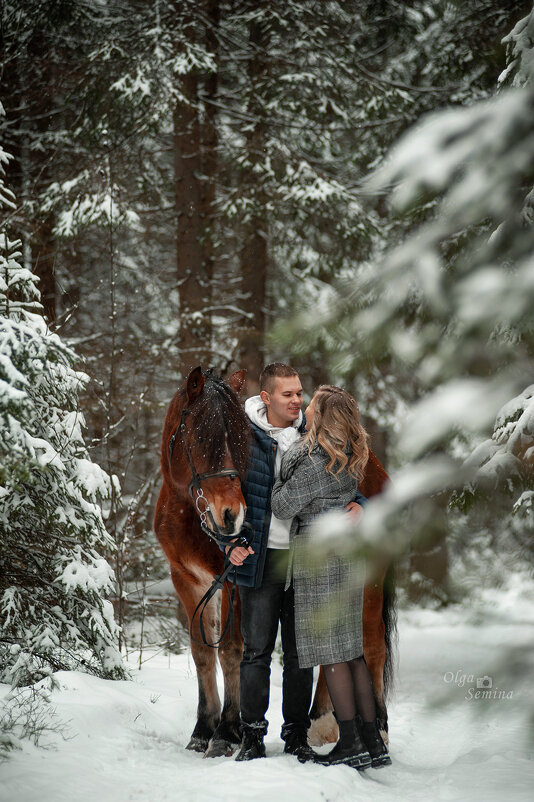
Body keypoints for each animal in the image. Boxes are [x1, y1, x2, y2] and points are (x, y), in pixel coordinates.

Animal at [153, 368, 396, 756]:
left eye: (240, 442)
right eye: (200, 438)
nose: (231, 516)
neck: (191, 516)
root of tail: (374, 465)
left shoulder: (236, 584)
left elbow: (232, 651)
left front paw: (226, 733)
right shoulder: (188, 581)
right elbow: (202, 653)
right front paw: (202, 731)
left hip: (369, 580)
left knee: (372, 645)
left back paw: (378, 731)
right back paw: (321, 723)